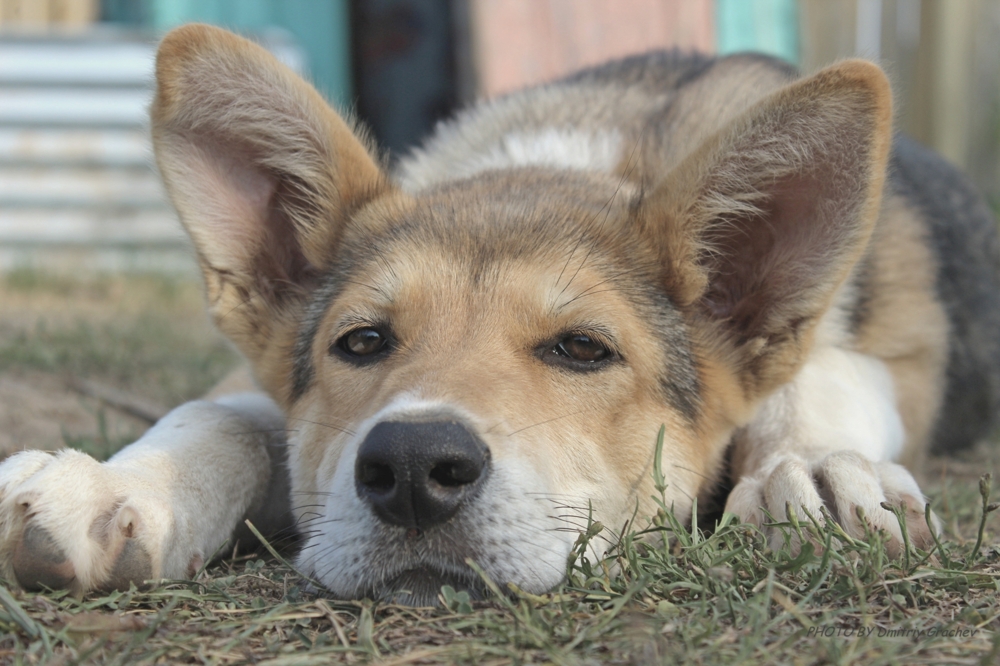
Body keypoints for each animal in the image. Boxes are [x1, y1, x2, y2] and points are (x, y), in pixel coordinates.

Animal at [1, 24, 1000, 600]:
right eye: (362, 341)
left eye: (584, 349)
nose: (411, 467)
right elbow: (226, 413)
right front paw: (120, 486)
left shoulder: (895, 346)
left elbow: (822, 374)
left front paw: (814, 469)